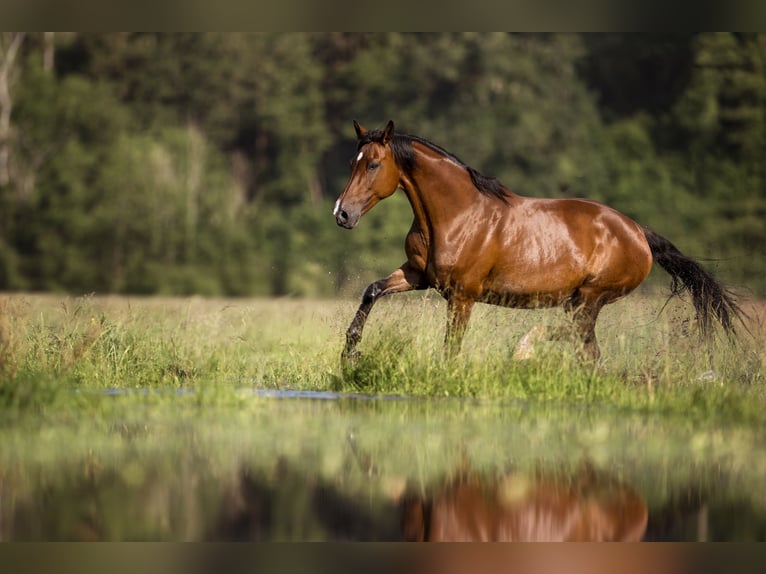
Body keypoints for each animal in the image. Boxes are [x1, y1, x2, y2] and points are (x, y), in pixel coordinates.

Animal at [334, 120, 744, 364]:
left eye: (373, 164)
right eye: (353, 162)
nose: (342, 214)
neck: (456, 215)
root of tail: (640, 233)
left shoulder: (462, 296)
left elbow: (451, 347)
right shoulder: (418, 276)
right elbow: (372, 291)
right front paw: (350, 351)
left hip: (590, 297)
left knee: (579, 337)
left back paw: (524, 349)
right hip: (579, 302)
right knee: (588, 350)